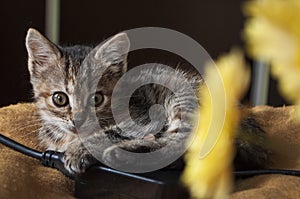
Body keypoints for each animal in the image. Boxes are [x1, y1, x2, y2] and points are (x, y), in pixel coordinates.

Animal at [26, 28, 270, 174]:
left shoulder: (143, 116)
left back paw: (121, 153)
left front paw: (78, 151)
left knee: (180, 147)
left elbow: (109, 132)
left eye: (97, 98)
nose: (78, 120)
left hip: (183, 99)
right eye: (59, 98)